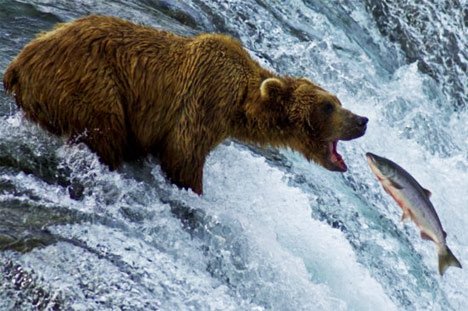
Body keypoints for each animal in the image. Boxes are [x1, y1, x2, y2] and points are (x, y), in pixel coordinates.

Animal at [4, 15, 370, 195]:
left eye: (338, 101)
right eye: (328, 106)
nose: (362, 120)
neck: (239, 105)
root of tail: (17, 65)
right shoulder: (201, 102)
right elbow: (183, 158)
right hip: (89, 82)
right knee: (105, 131)